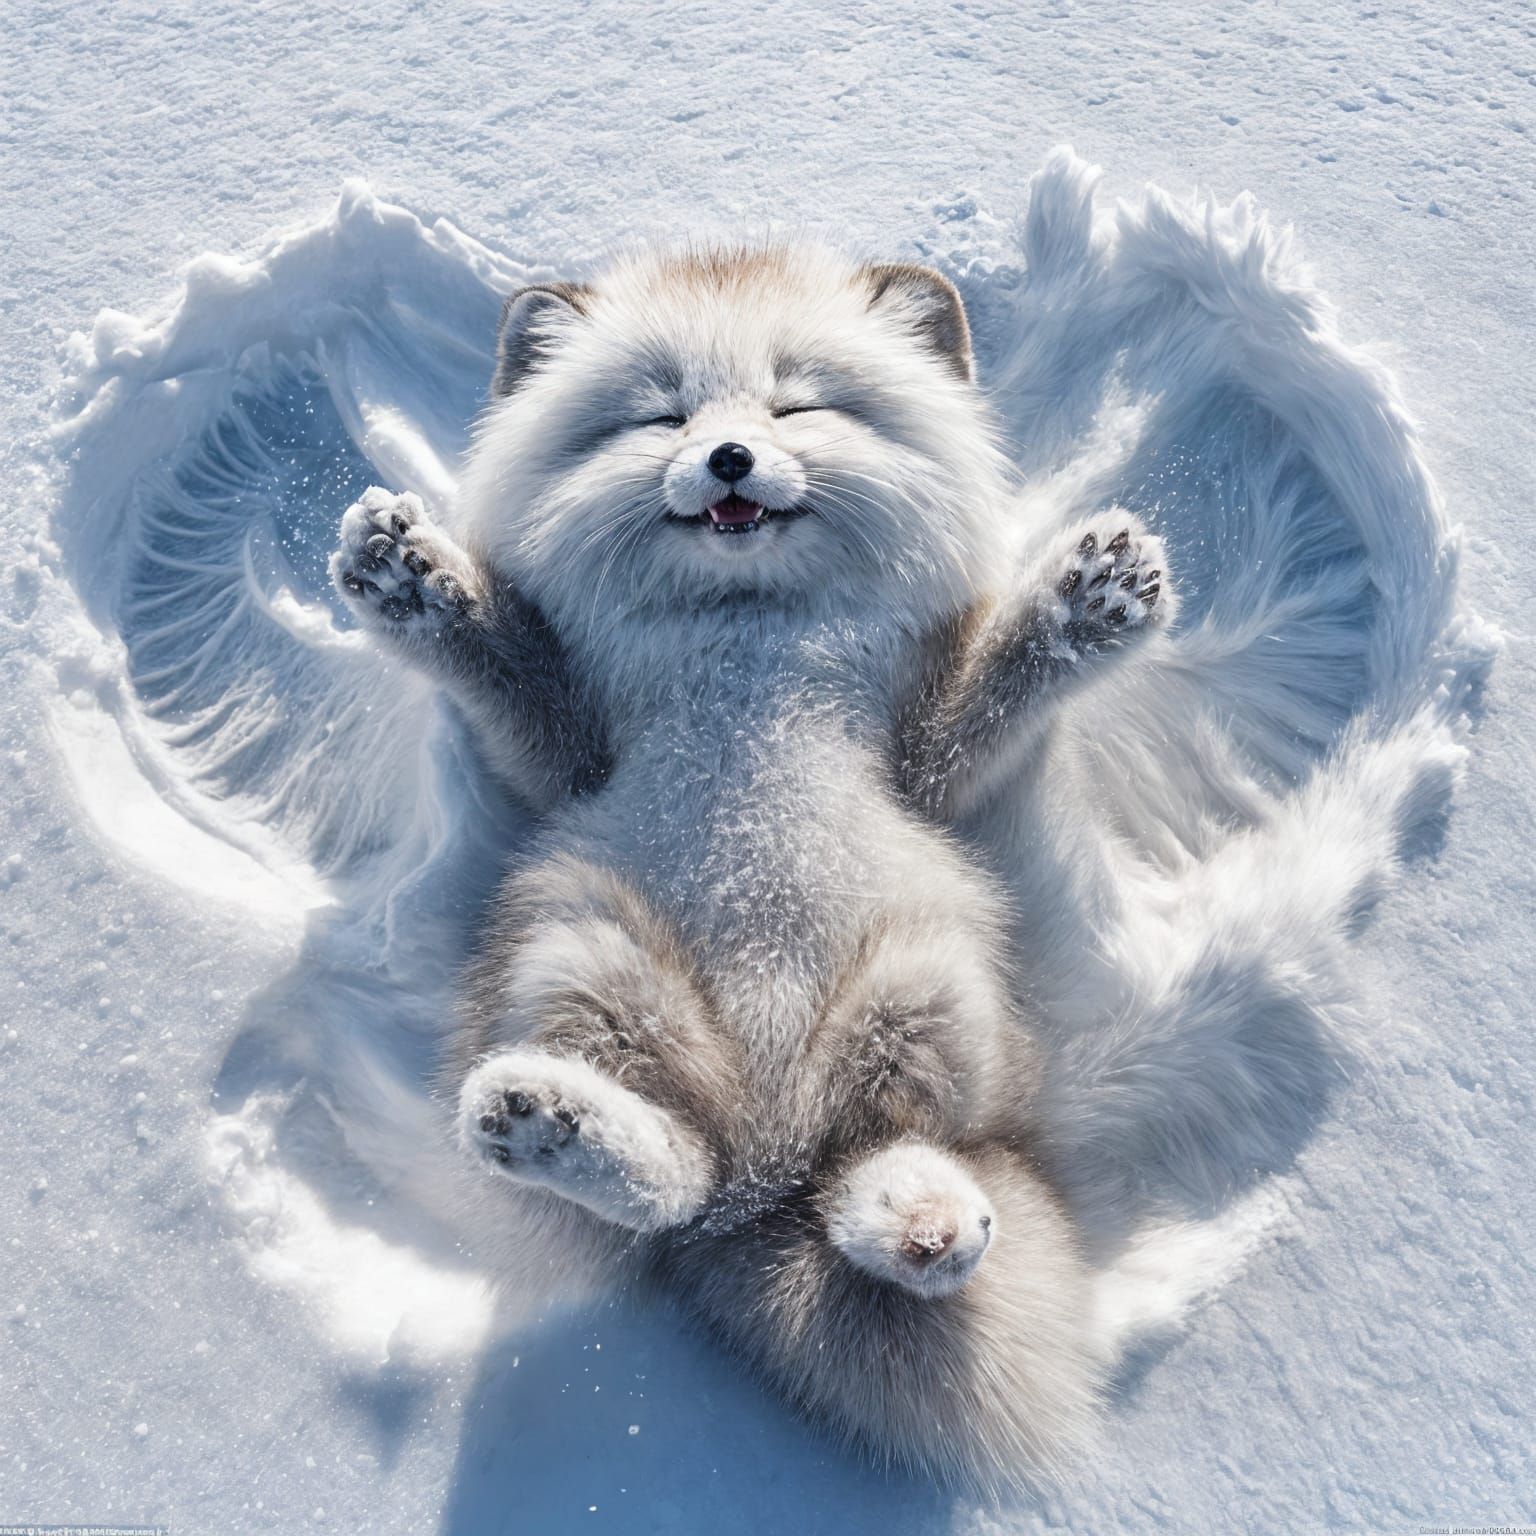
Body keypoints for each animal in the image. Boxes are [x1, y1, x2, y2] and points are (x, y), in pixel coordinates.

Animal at [329, 243, 1172, 1491]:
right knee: (676, 1186)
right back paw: (554, 1125)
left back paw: (925, 1222)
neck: (747, 635)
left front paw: (1087, 602)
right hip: (583, 961)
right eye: (662, 413)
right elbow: (507, 664)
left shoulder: (921, 767)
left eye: (795, 404)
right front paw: (416, 580)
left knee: (874, 1176)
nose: (728, 459)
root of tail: (765, 1175)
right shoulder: (575, 756)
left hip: (923, 999)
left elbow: (991, 694)